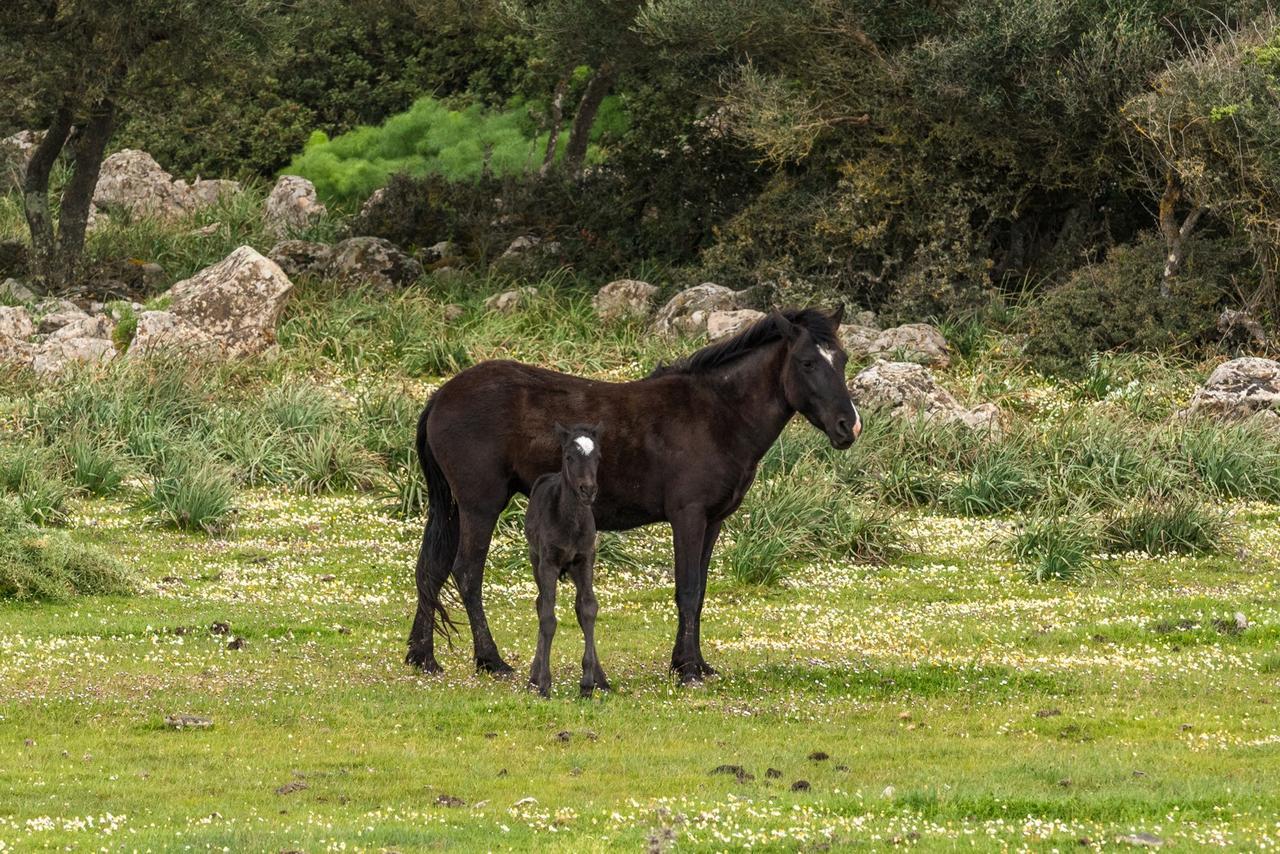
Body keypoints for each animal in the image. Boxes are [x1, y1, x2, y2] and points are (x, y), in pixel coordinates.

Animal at [527, 425, 611, 696]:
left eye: (598, 457)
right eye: (568, 457)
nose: (588, 490)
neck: (570, 521)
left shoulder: (585, 560)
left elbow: (588, 609)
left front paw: (588, 682)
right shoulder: (548, 563)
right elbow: (548, 615)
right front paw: (544, 682)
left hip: (574, 569)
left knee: (578, 605)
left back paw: (601, 677)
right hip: (535, 560)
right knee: (540, 602)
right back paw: (534, 675)